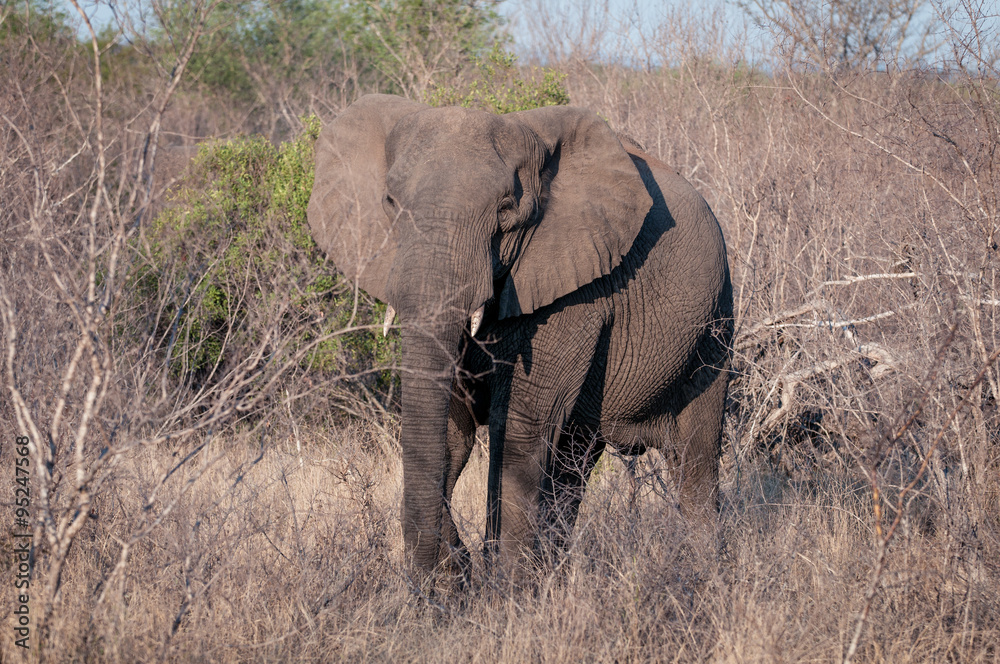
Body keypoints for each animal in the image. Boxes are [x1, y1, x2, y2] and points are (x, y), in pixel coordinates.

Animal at [307, 94, 733, 574]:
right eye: (390, 202)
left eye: (507, 210)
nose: (446, 575)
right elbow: (450, 434)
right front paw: (462, 577)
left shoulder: (578, 289)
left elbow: (518, 428)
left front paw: (498, 589)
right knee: (571, 469)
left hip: (713, 327)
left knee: (693, 466)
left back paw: (705, 574)